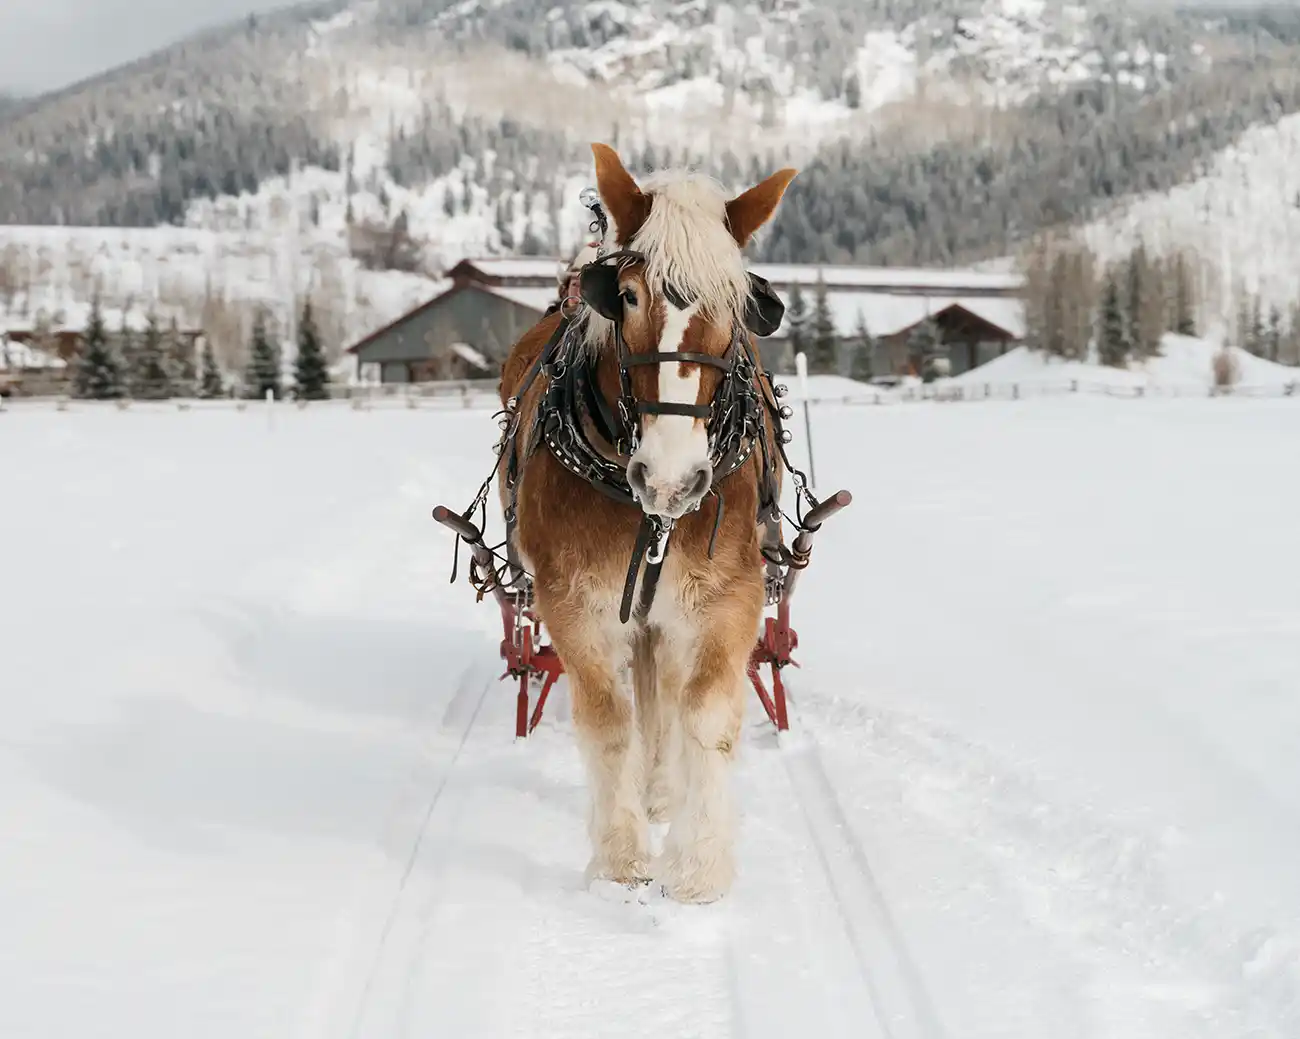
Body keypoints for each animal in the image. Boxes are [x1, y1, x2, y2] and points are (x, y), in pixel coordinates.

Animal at [496, 143, 798, 903]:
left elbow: (703, 712)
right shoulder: (574, 601)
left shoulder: (727, 594)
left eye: (739, 302)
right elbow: (609, 721)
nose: (672, 478)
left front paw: (697, 866)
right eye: (628, 296)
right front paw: (623, 858)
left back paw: (663, 789)